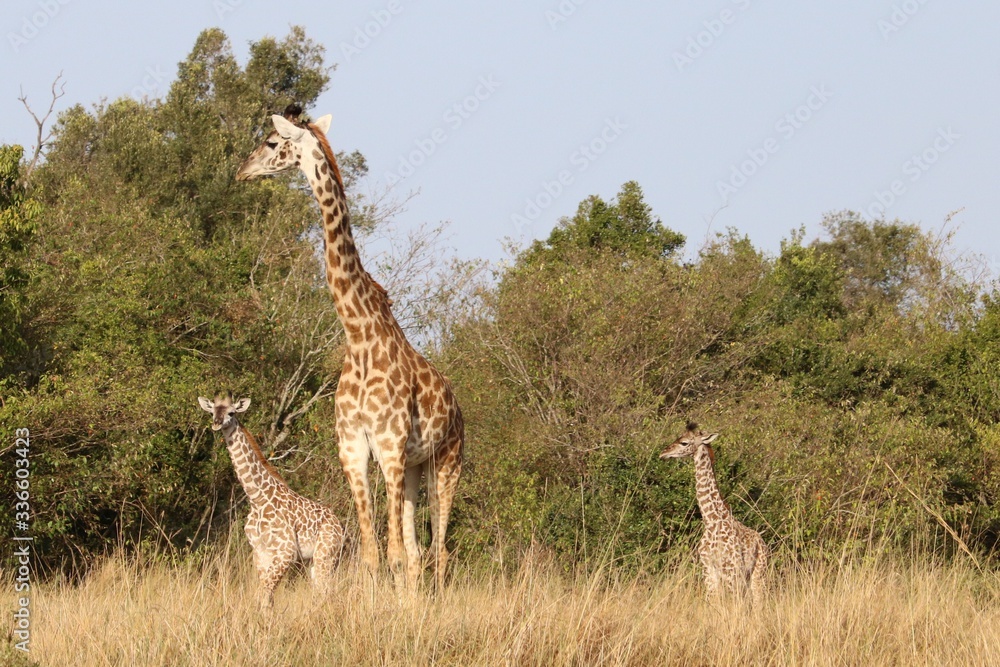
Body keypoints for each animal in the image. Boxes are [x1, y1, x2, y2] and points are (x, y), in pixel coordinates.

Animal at [198, 392, 347, 610]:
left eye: (231, 412)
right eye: (212, 411)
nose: (216, 423)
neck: (257, 497)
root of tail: (340, 526)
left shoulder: (286, 551)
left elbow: (264, 592)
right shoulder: (260, 552)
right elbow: (267, 597)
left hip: (325, 554)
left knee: (326, 591)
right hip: (316, 559)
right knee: (321, 592)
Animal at [235, 105, 463, 591]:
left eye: (270, 141)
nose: (242, 170)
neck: (358, 336)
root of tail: (459, 409)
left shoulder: (389, 445)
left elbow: (391, 553)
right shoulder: (354, 447)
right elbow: (374, 556)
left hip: (448, 463)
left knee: (438, 553)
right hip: (415, 468)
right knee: (418, 554)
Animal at [660, 423, 768, 604]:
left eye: (684, 442)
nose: (663, 453)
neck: (711, 520)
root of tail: (762, 542)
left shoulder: (731, 568)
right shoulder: (708, 568)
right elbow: (713, 601)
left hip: (758, 572)